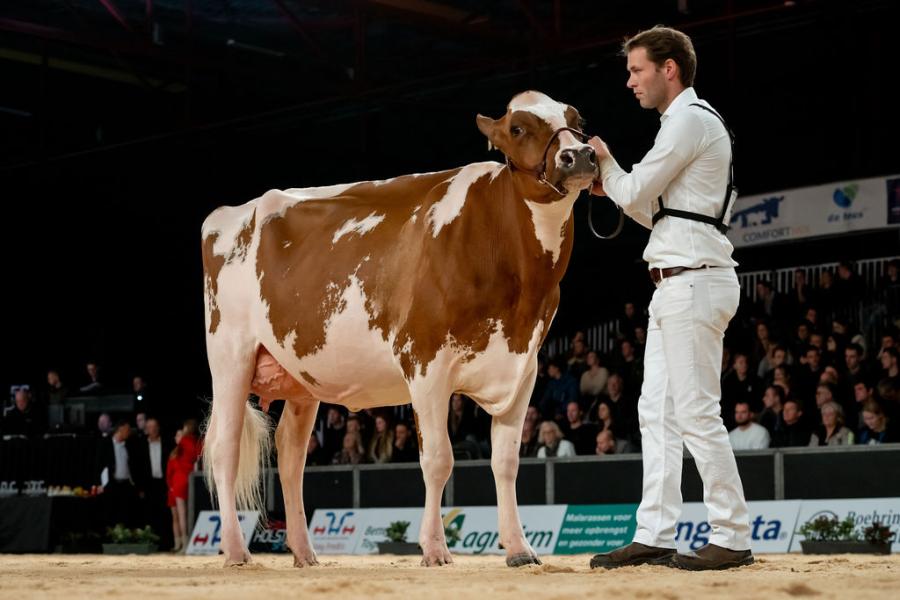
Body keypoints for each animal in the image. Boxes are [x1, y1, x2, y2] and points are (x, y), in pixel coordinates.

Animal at [203, 90, 596, 568]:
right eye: (518, 128)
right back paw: (236, 550)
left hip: (301, 375)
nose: (579, 155)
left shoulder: (523, 368)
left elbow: (506, 463)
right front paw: (434, 549)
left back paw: (304, 552)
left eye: (577, 119)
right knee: (226, 449)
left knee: (291, 456)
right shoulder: (425, 363)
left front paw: (519, 548)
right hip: (230, 356)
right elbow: (438, 460)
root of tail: (228, 213)